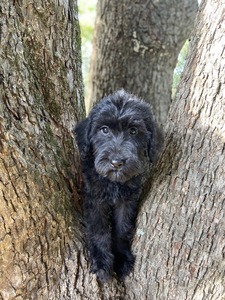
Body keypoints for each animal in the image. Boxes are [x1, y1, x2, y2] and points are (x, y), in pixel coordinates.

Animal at [74, 90, 163, 282]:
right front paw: (101, 262)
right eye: (104, 129)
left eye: (133, 131)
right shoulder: (95, 199)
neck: (113, 183)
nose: (116, 162)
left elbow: (122, 228)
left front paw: (122, 258)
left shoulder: (127, 200)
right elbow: (99, 230)